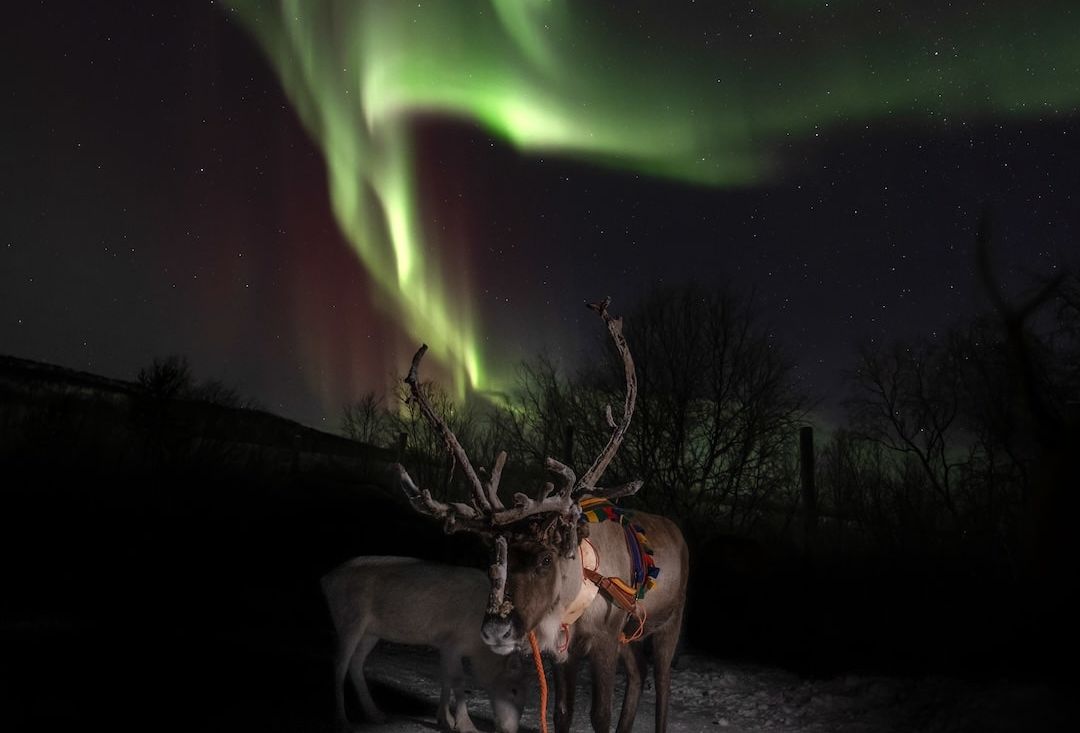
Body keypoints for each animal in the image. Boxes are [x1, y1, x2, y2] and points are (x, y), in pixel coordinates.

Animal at [321, 556, 526, 733]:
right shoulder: (453, 643)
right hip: (349, 619)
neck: (478, 649)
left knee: (356, 663)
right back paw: (343, 721)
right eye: (514, 690)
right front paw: (466, 725)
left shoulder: (444, 645)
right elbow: (457, 680)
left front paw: (444, 719)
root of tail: (326, 580)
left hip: (370, 632)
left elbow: (445, 678)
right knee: (339, 664)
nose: (510, 730)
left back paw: (376, 714)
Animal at [394, 298, 689, 733]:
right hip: (630, 639)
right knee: (638, 675)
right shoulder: (563, 652)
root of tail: (677, 533)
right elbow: (562, 713)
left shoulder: (605, 637)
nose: (497, 628)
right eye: (492, 558)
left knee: (663, 682)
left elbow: (598, 715)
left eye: (546, 559)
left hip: (669, 622)